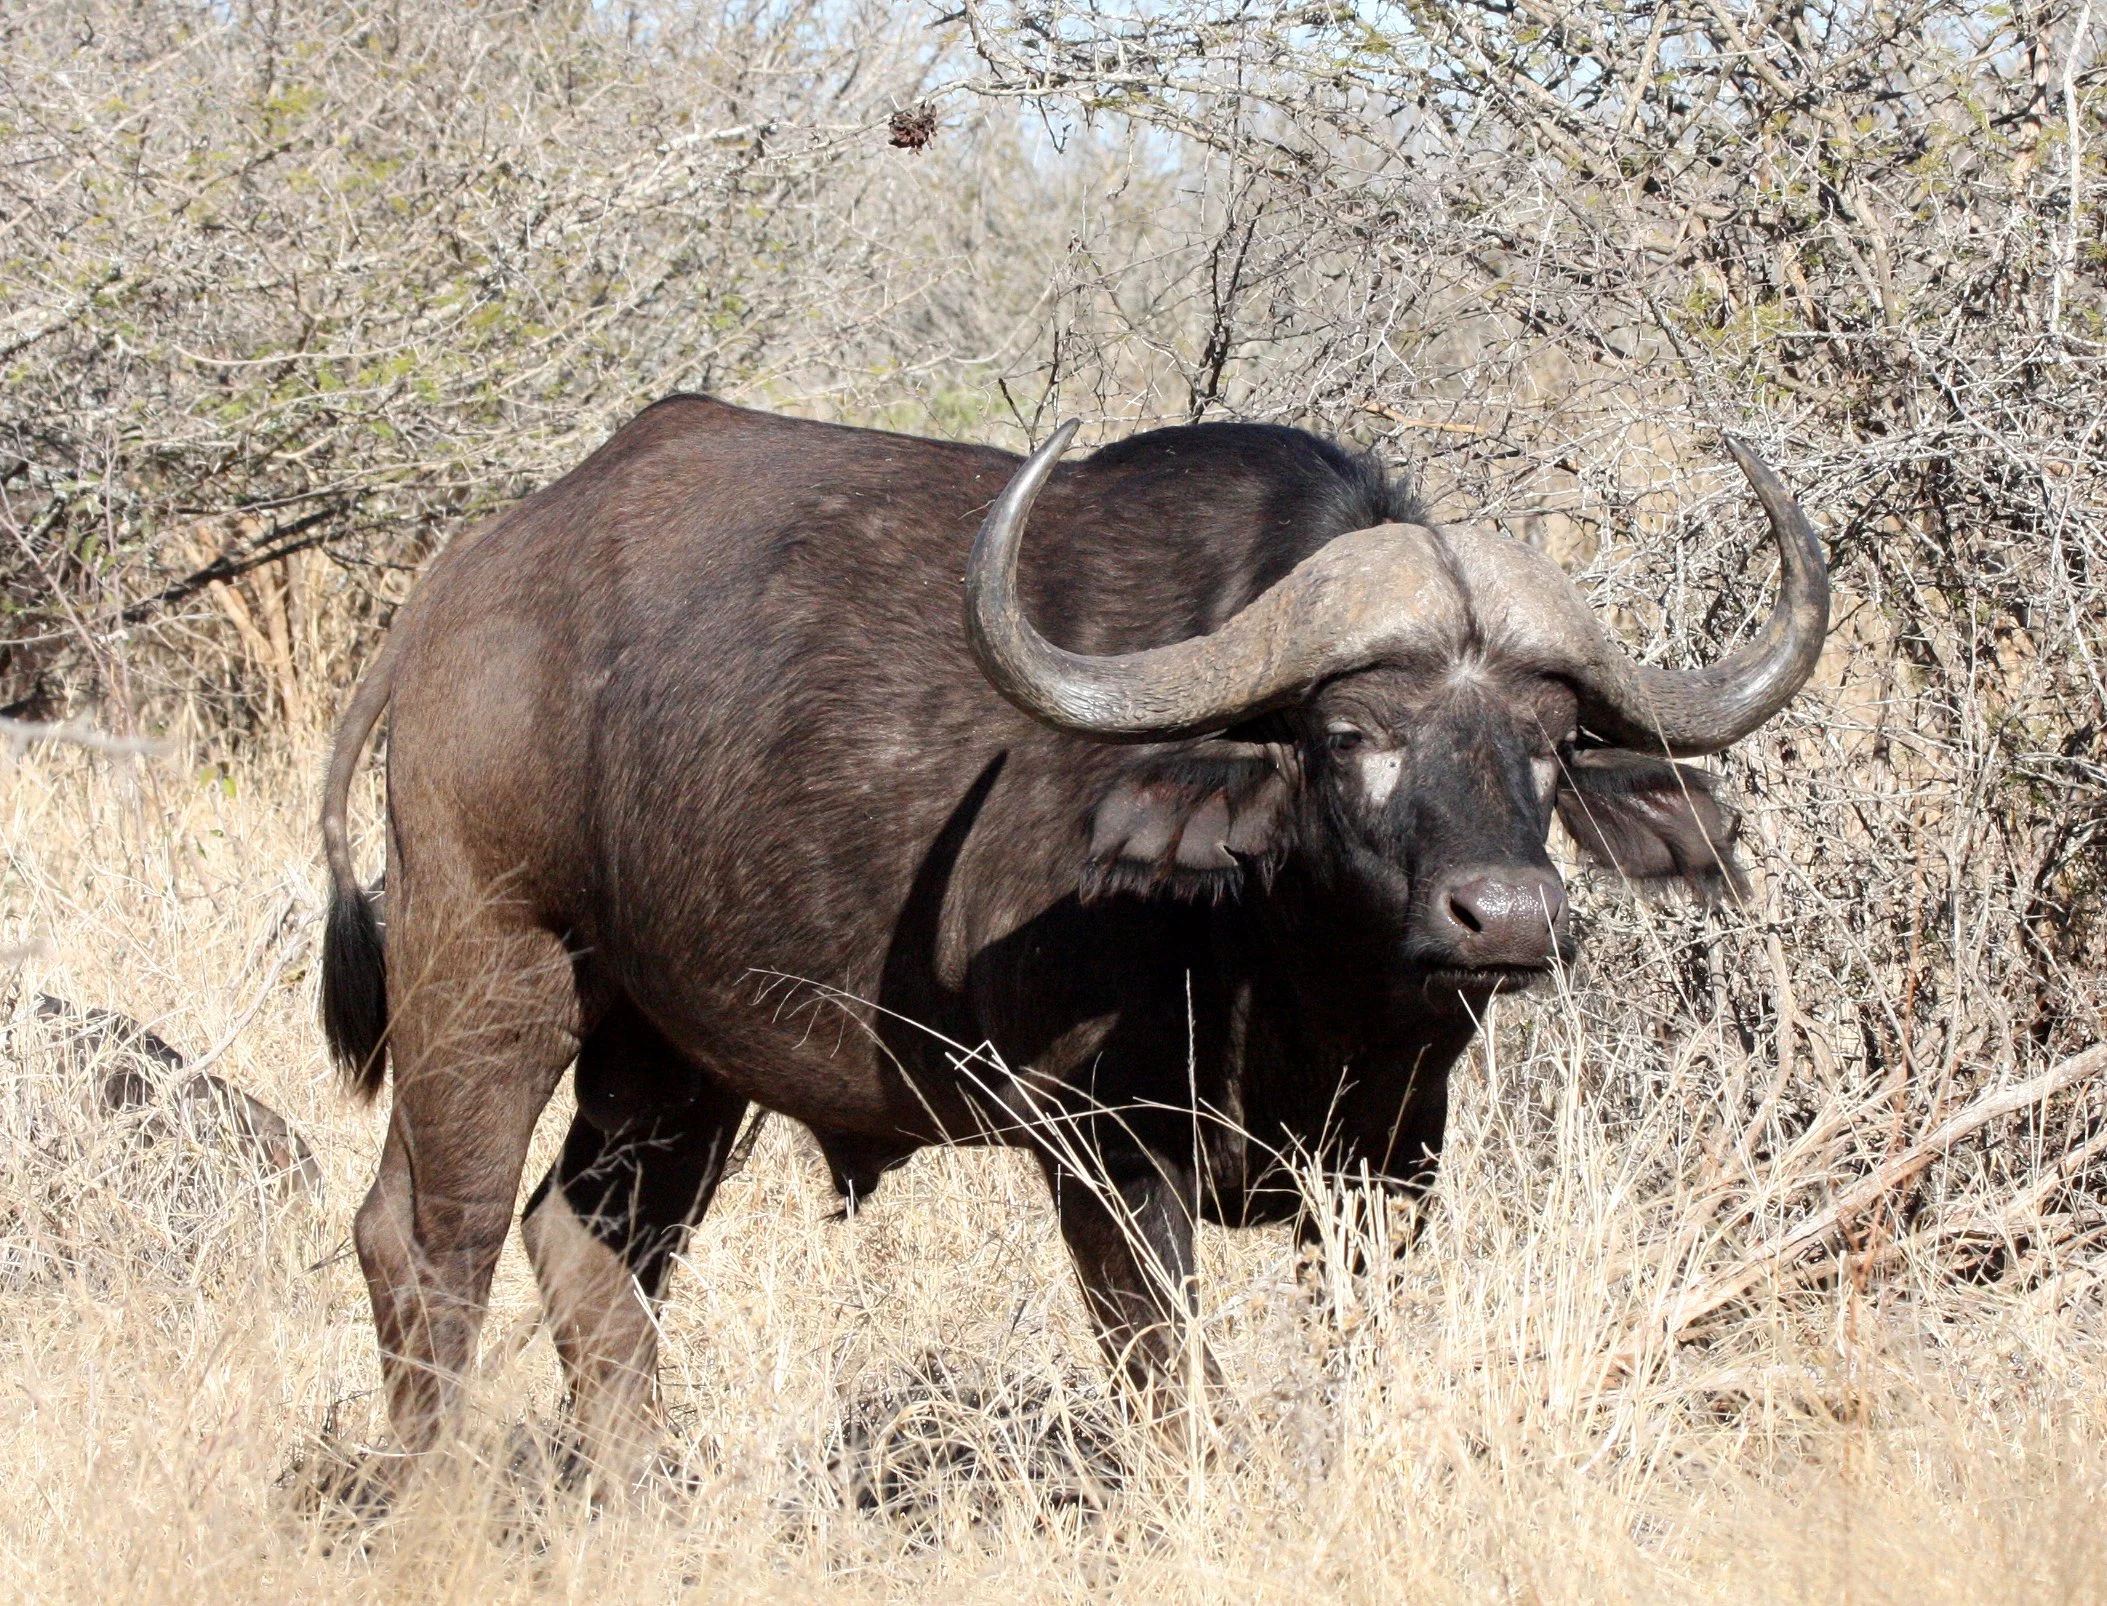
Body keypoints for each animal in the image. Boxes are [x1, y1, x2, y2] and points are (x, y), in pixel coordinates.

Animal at [318, 398, 1826, 1472]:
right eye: (1351, 732)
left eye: (1552, 740)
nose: (1504, 915)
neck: (1291, 966)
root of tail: (465, 585)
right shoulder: (1103, 1153)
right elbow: (1171, 1387)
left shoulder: (1392, 1162)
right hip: (489, 965)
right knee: (428, 1240)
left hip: (669, 1055)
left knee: (585, 1253)